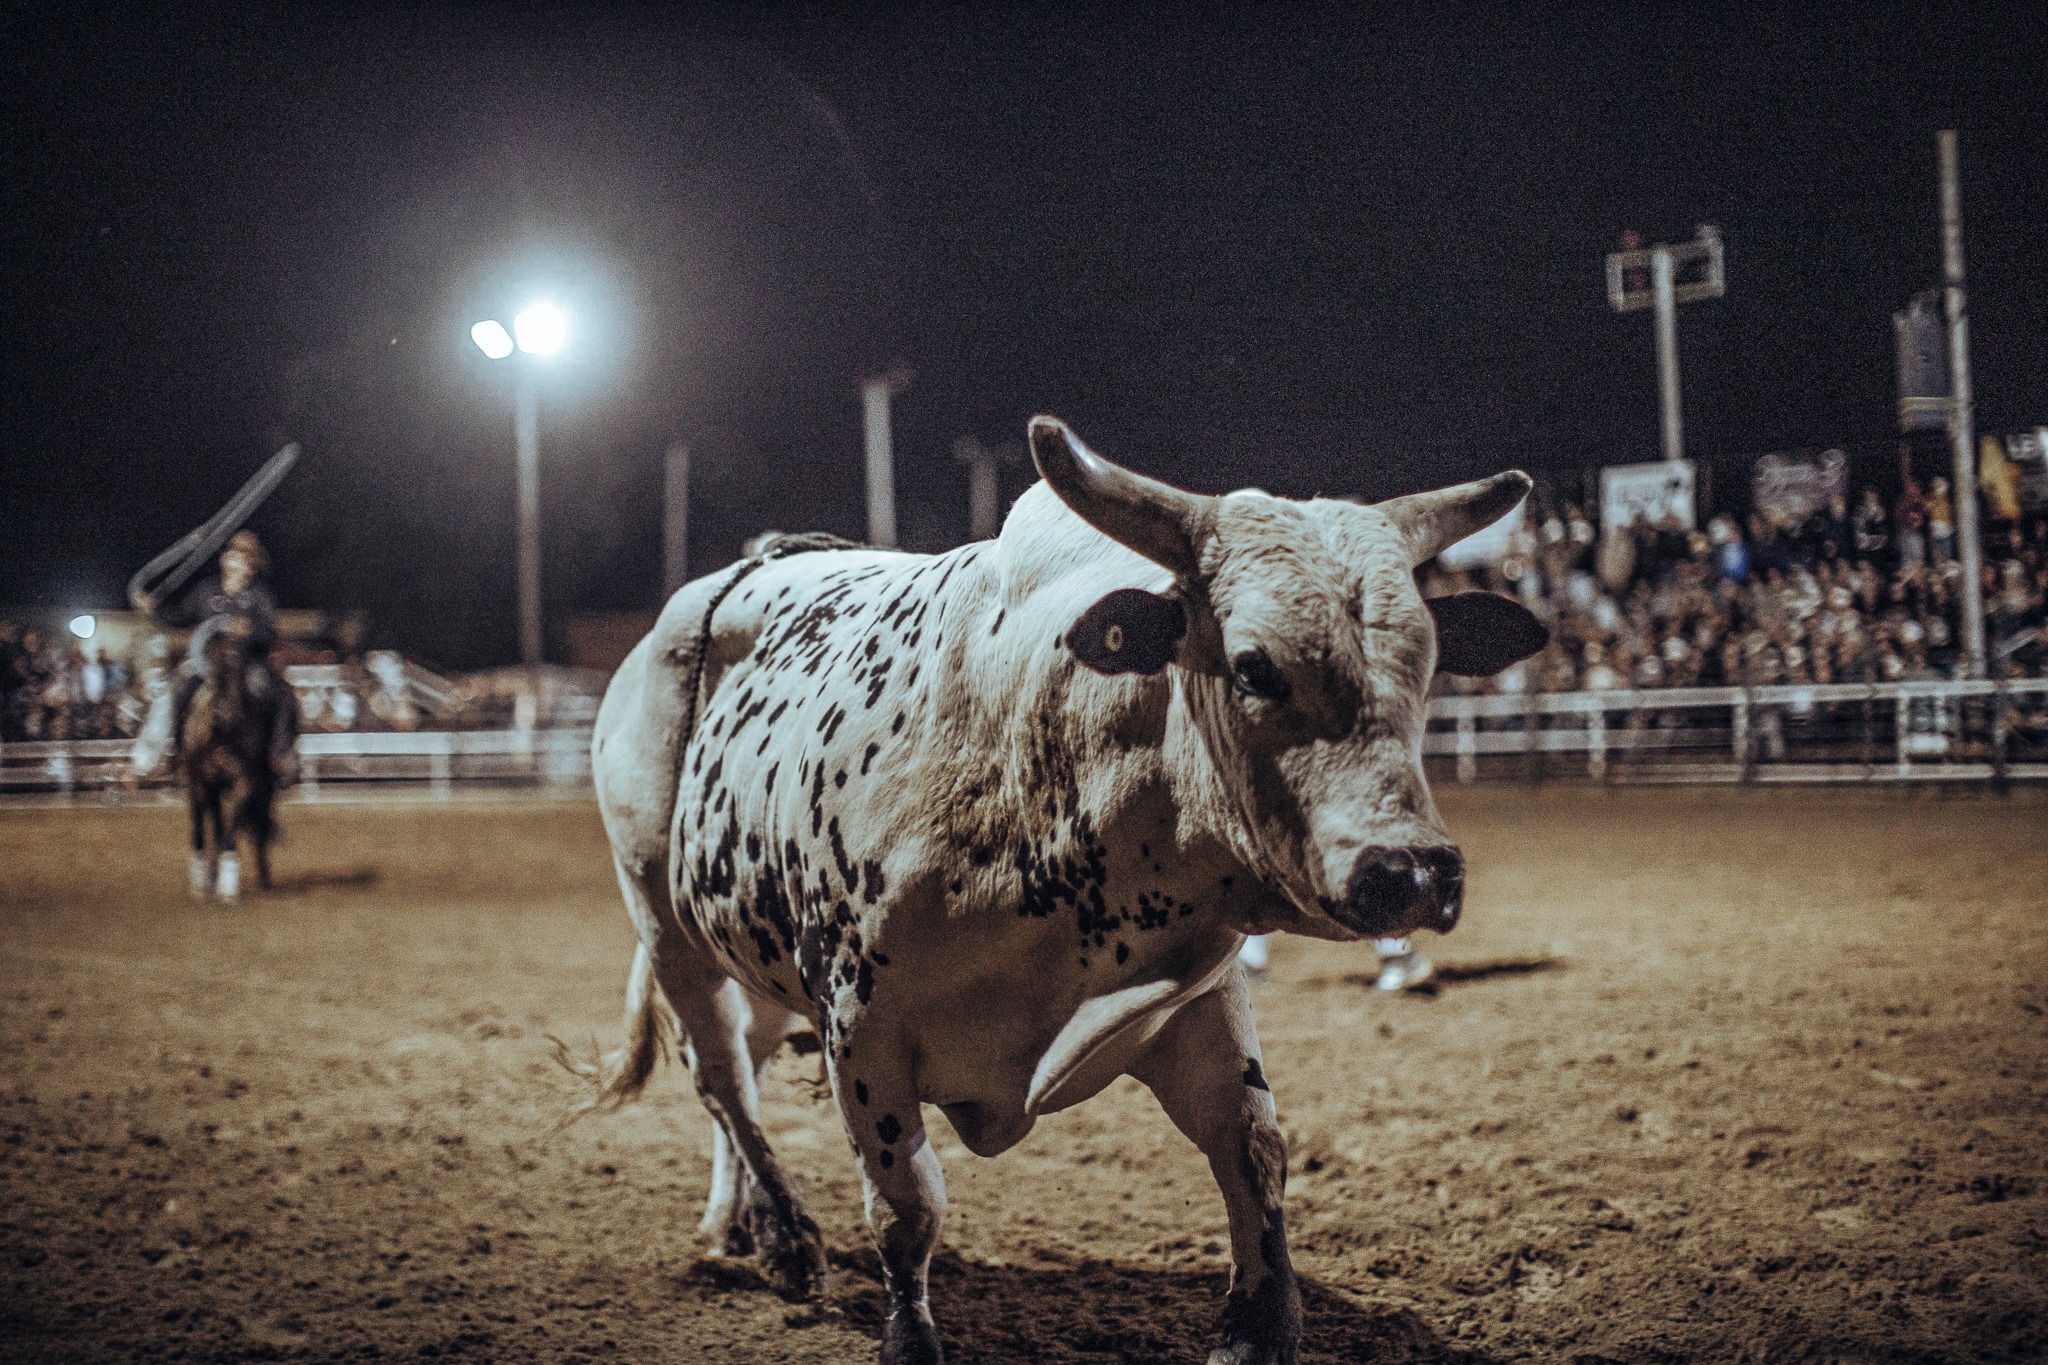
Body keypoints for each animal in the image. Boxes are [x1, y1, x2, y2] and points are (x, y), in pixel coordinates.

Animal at [180, 626, 282, 900]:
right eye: (216, 671)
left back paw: (262, 879)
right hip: (206, 788)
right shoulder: (201, 785)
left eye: (242, 669)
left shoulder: (244, 784)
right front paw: (203, 885)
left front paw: (225, 887)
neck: (222, 737)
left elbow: (230, 832)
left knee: (252, 830)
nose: (226, 716)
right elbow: (203, 831)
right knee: (208, 825)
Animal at [569, 419, 1540, 1365]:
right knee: (723, 1075)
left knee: (747, 1063)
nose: (1412, 870)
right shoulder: (860, 1025)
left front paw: (1261, 1322)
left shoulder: (1195, 995)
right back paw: (786, 1238)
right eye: (1253, 666)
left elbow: (1252, 1145)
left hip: (754, 944)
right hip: (667, 925)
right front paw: (907, 1332)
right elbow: (907, 1206)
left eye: (1427, 664)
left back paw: (734, 1223)